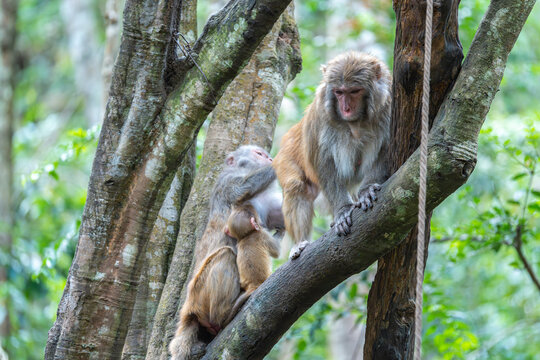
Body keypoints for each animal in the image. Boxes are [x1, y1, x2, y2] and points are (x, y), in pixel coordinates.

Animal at [171, 146, 284, 360]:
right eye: (259, 154)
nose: (270, 159)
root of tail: (189, 311)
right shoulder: (226, 181)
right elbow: (242, 187)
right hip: (200, 294)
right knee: (226, 255)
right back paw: (224, 314)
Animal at [272, 51, 390, 258]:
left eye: (354, 91)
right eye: (339, 92)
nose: (346, 108)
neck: (356, 121)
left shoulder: (388, 106)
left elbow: (383, 150)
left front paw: (367, 190)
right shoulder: (321, 114)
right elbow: (323, 163)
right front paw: (343, 210)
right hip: (285, 157)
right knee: (296, 186)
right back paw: (300, 243)